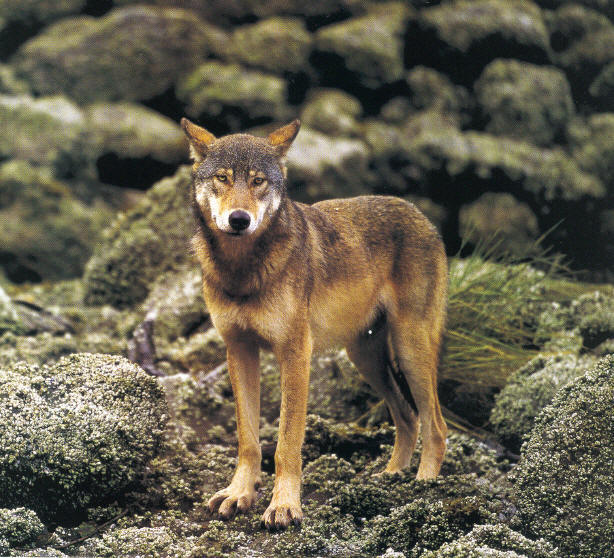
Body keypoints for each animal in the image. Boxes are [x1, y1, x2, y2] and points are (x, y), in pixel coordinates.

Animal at [180, 117, 450, 528]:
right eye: (223, 179)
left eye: (258, 181)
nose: (239, 219)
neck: (243, 271)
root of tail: (419, 214)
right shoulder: (239, 350)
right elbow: (248, 440)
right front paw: (239, 494)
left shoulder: (296, 354)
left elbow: (286, 444)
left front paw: (283, 506)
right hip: (365, 358)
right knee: (408, 417)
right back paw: (391, 477)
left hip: (409, 349)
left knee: (435, 425)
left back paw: (423, 487)